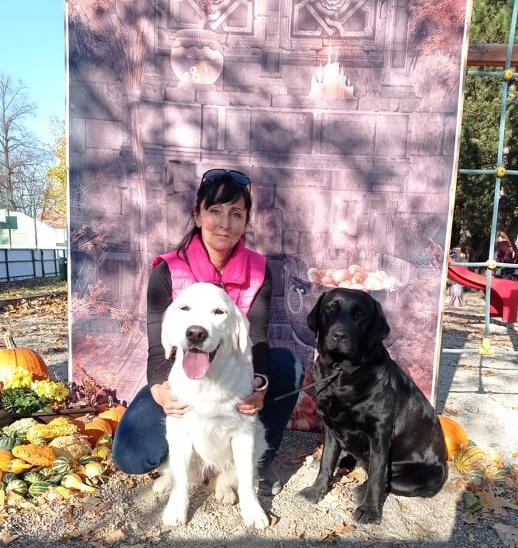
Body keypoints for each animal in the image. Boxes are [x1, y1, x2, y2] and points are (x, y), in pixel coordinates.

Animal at [155, 282, 269, 529]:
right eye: (184, 308)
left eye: (219, 312)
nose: (196, 333)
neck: (208, 382)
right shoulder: (179, 431)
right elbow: (181, 480)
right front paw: (176, 510)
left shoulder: (244, 434)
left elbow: (246, 479)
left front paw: (253, 511)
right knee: (177, 473)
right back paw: (164, 483)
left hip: (259, 440)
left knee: (231, 476)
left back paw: (224, 490)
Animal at [297, 288, 447, 524]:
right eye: (330, 308)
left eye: (360, 314)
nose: (339, 335)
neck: (341, 374)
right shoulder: (330, 427)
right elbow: (326, 463)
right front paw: (316, 491)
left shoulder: (380, 435)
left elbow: (377, 475)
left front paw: (369, 510)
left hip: (424, 477)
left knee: (387, 480)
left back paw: (361, 489)